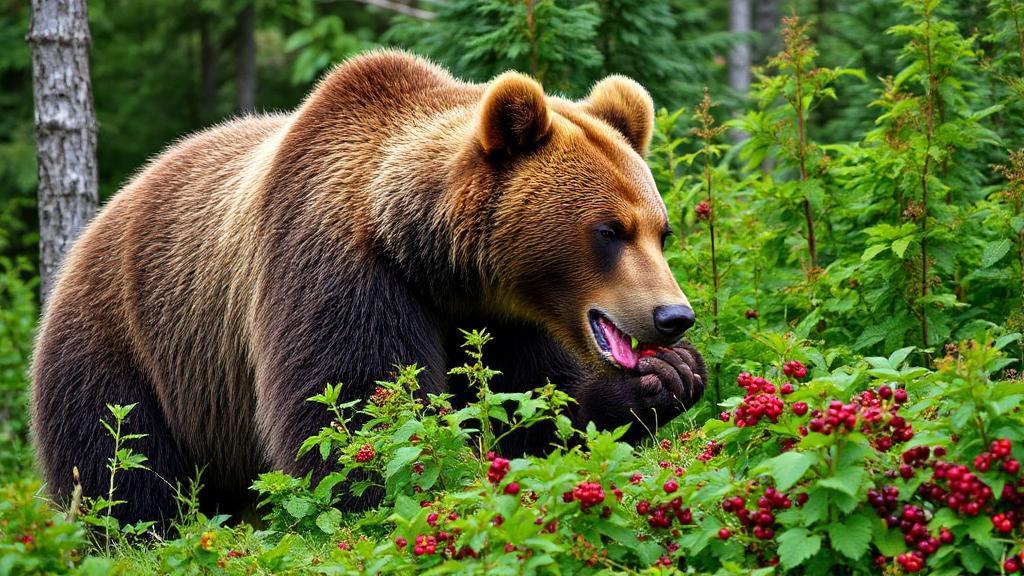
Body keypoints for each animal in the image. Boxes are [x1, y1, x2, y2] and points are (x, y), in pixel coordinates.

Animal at [31, 50, 706, 526]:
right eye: (608, 231)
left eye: (661, 230)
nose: (673, 316)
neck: (426, 257)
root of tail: (97, 222)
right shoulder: (335, 273)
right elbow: (359, 427)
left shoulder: (501, 318)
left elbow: (535, 409)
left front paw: (668, 377)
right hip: (131, 349)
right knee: (124, 469)